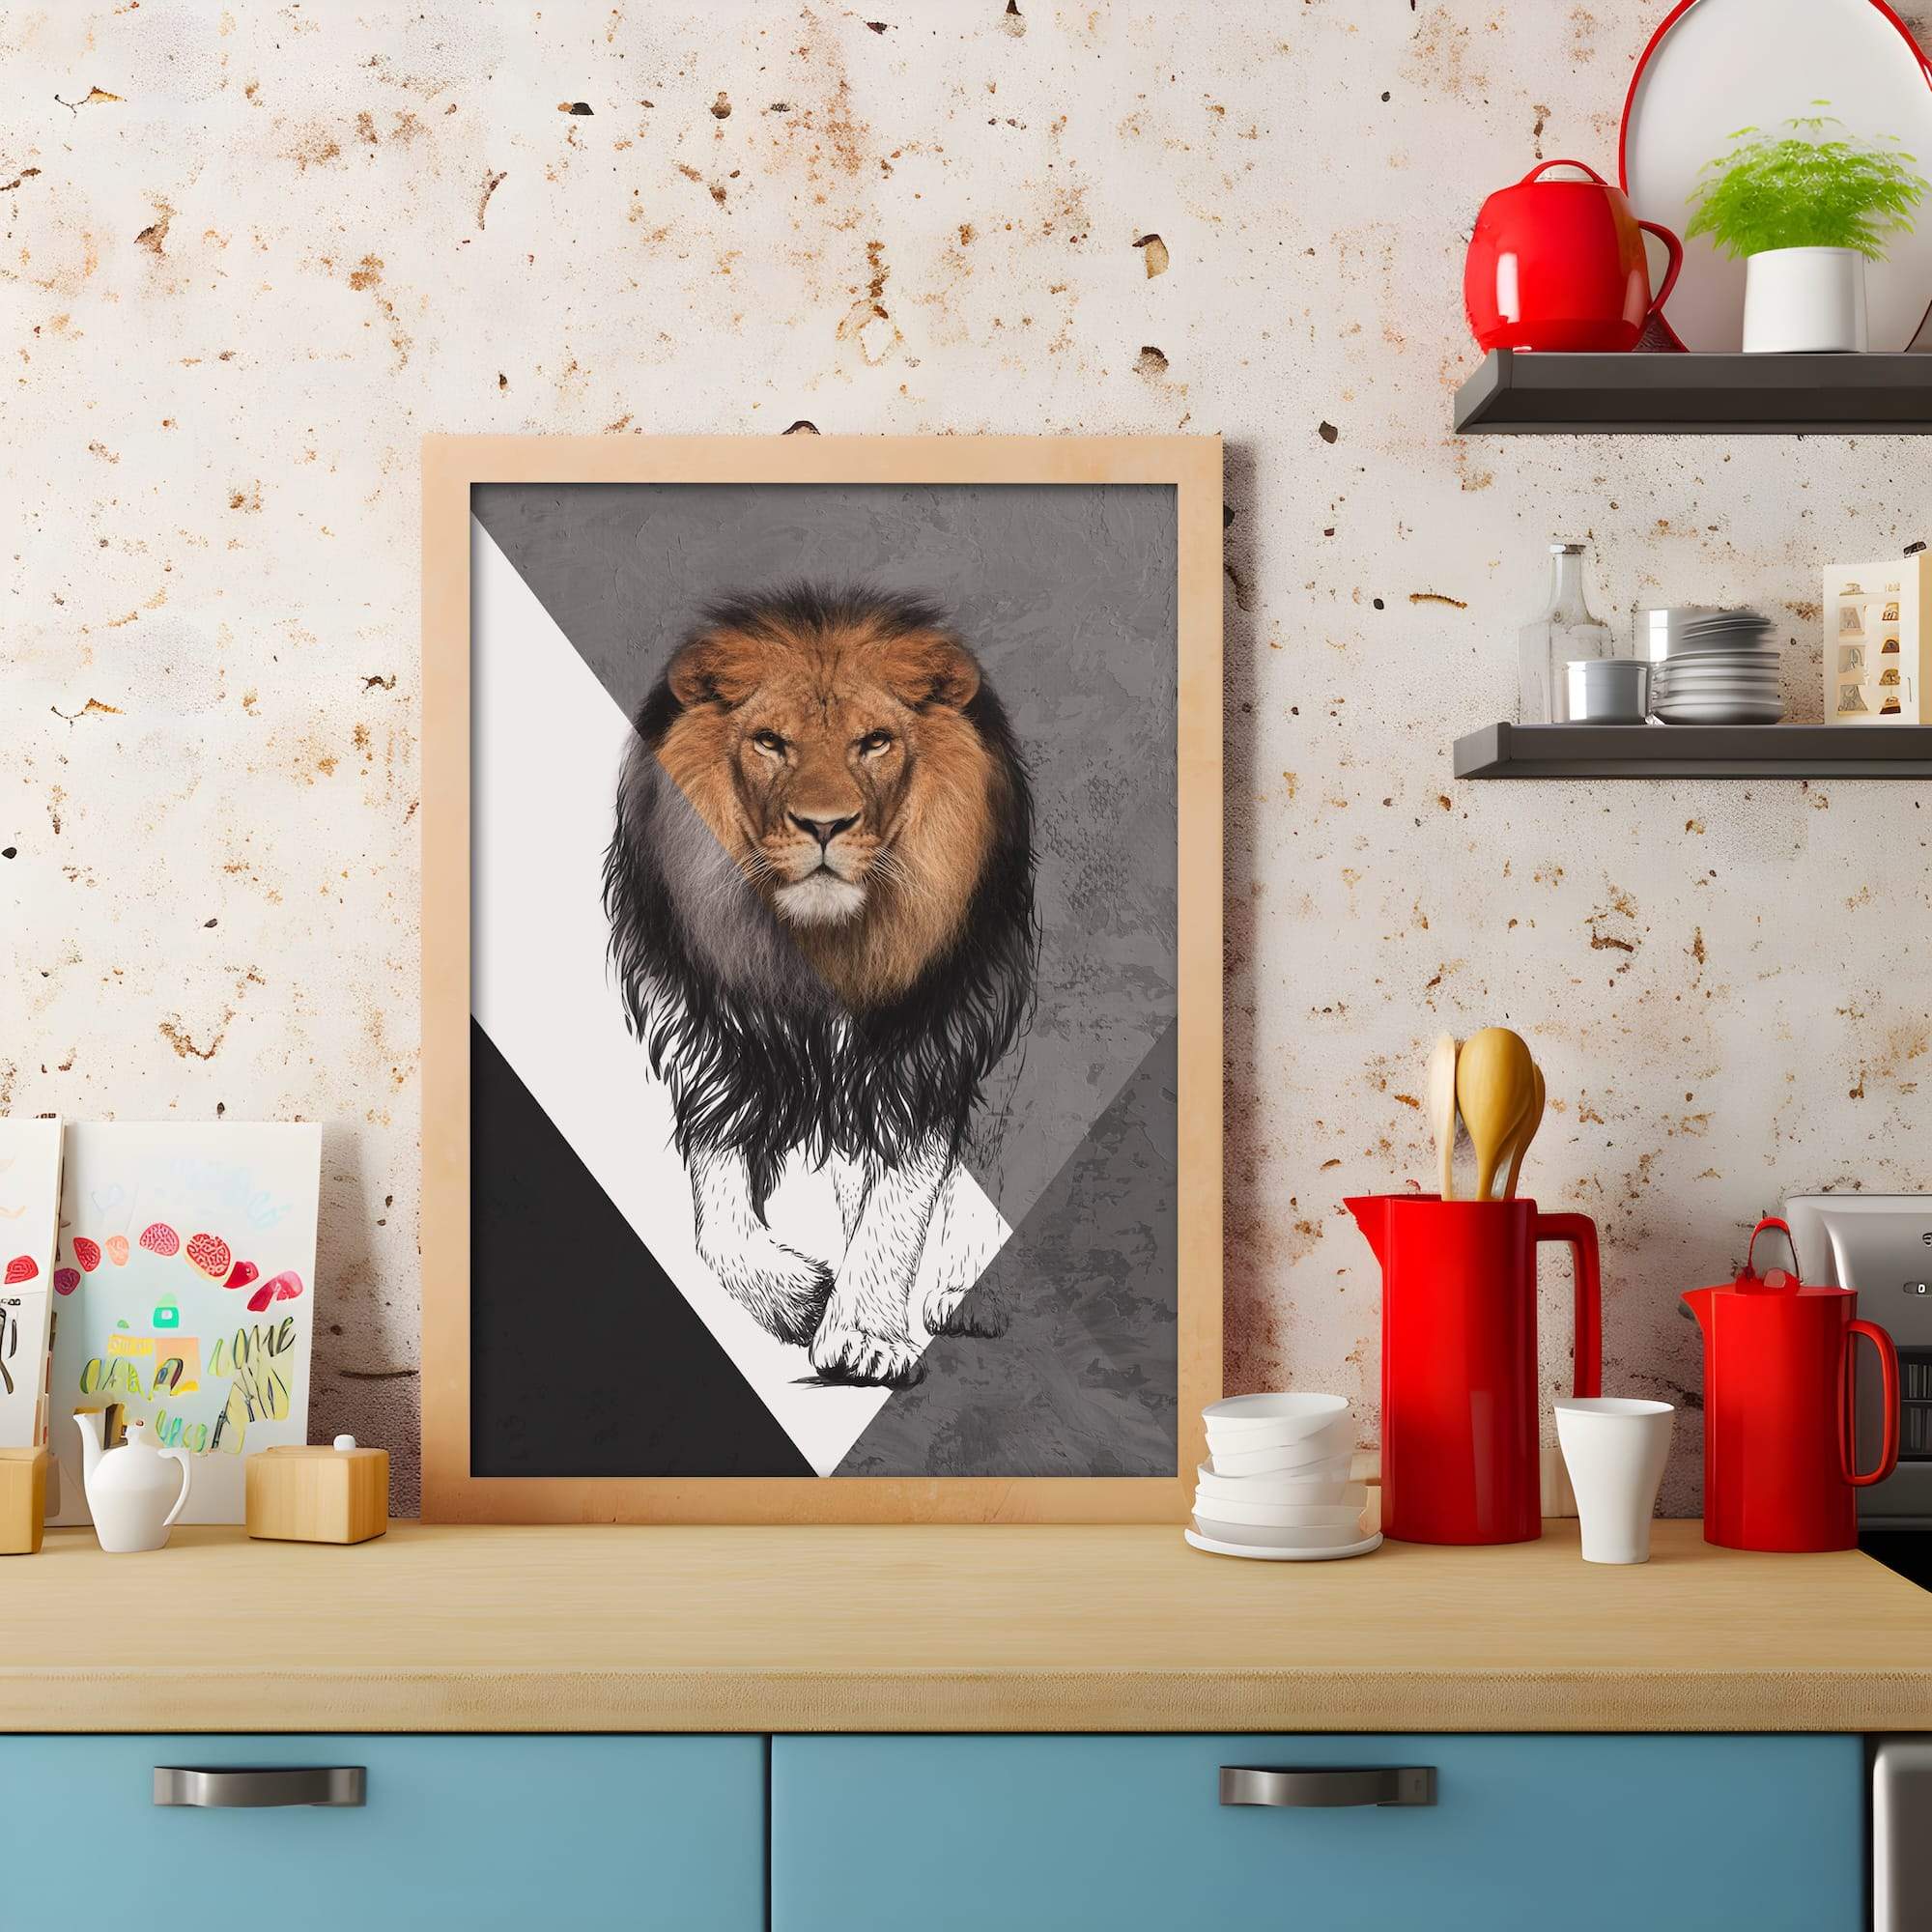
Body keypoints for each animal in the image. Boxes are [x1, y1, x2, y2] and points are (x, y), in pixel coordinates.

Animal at [603, 584, 1037, 1387]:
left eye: (876, 741)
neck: (821, 951)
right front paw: (804, 1300)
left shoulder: (928, 1048)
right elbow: (720, 1227)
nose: (824, 825)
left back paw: (966, 1288)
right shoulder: (717, 1050)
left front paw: (865, 1336)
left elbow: (899, 1201)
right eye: (770, 741)